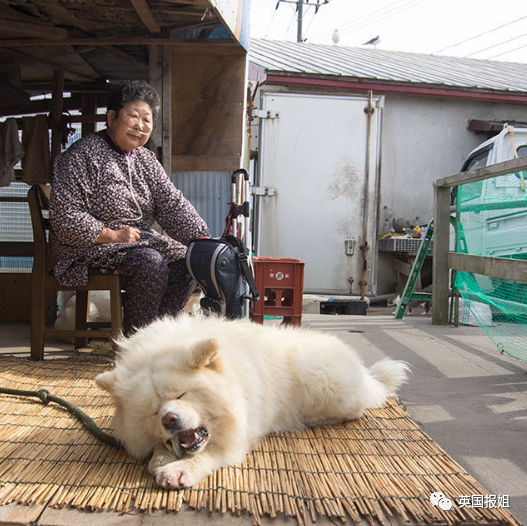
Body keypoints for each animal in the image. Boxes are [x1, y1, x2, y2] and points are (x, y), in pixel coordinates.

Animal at [96, 314, 408, 490]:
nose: (169, 419)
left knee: (353, 409)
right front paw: (161, 458)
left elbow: (207, 455)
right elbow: (160, 449)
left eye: (180, 395)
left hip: (319, 379)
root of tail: (364, 372)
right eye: (152, 411)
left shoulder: (237, 435)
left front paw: (178, 470)